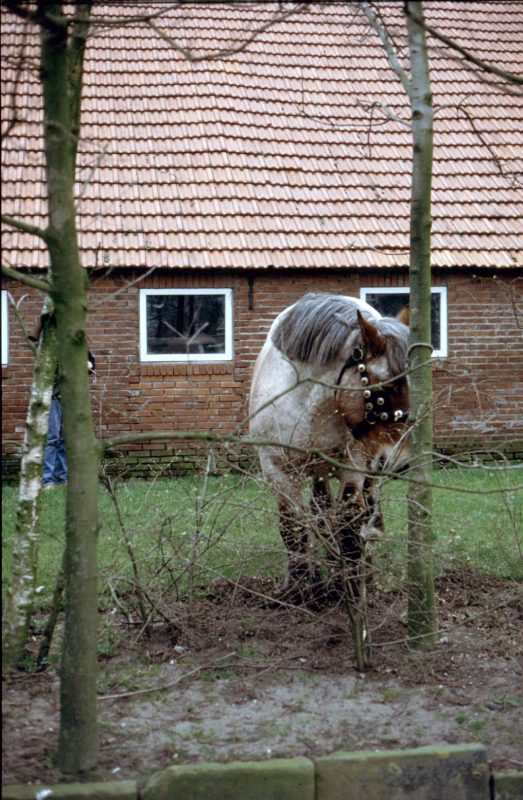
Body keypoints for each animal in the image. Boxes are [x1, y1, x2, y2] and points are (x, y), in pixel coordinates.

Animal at [249, 292, 410, 624]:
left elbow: (349, 523)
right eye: (386, 387)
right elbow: (293, 528)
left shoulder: (354, 467)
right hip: (320, 471)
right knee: (320, 511)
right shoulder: (276, 469)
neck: (310, 403)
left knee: (362, 514)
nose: (400, 461)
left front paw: (348, 587)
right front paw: (300, 589)